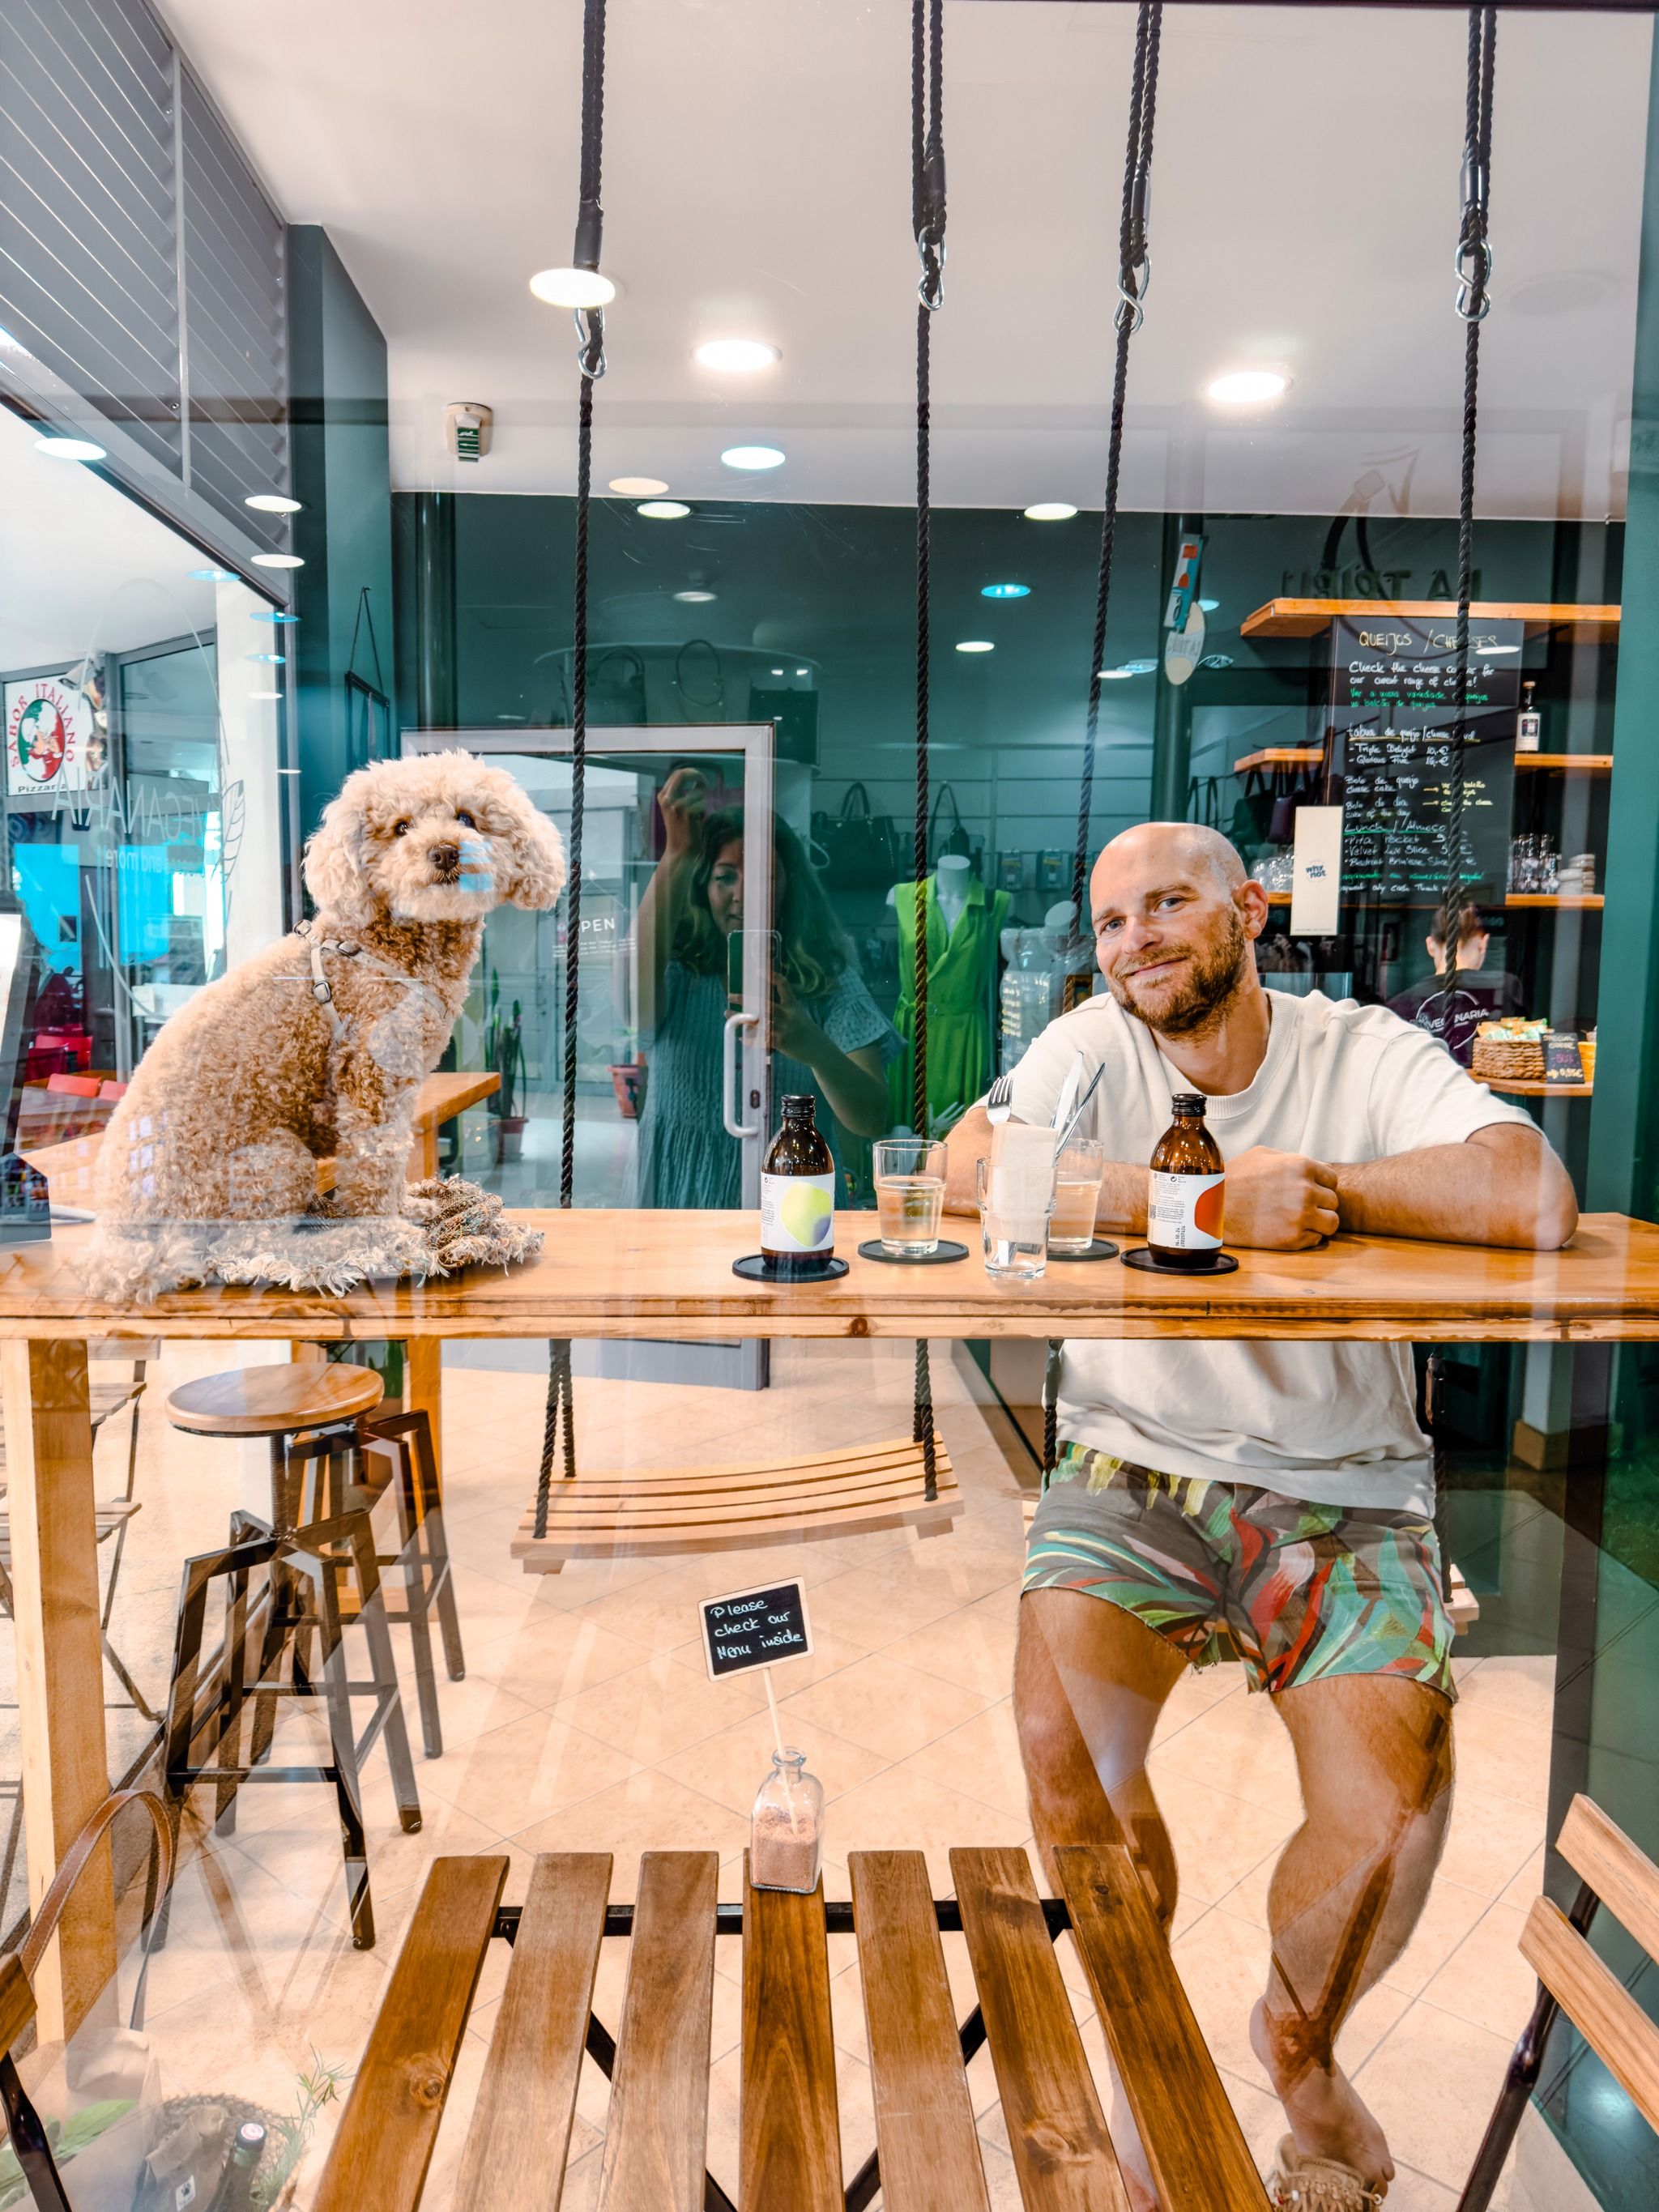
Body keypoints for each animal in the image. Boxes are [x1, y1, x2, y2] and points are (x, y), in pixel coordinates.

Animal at [84, 751, 565, 1298]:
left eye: (467, 818)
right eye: (401, 828)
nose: (444, 852)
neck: (382, 946)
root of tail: (119, 1250)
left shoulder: (398, 1089)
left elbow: (393, 1163)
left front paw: (410, 1207)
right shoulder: (371, 1085)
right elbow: (376, 1163)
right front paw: (389, 1235)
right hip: (274, 1161)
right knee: (244, 1249)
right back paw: (331, 1247)